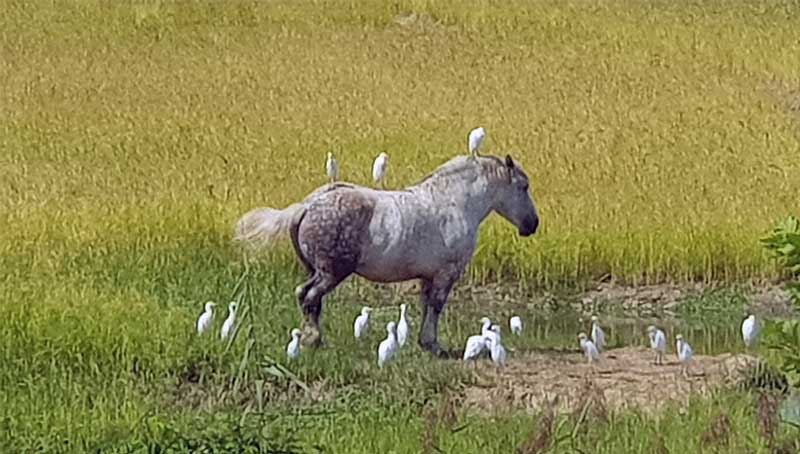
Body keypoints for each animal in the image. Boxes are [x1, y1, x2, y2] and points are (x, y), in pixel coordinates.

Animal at [234, 154, 540, 356]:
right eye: (523, 187)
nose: (532, 225)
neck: (455, 203)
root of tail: (307, 205)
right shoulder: (447, 272)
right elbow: (436, 306)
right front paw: (433, 345)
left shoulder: (428, 276)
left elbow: (425, 305)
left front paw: (424, 343)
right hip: (332, 272)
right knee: (308, 296)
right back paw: (313, 339)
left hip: (317, 270)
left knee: (308, 298)